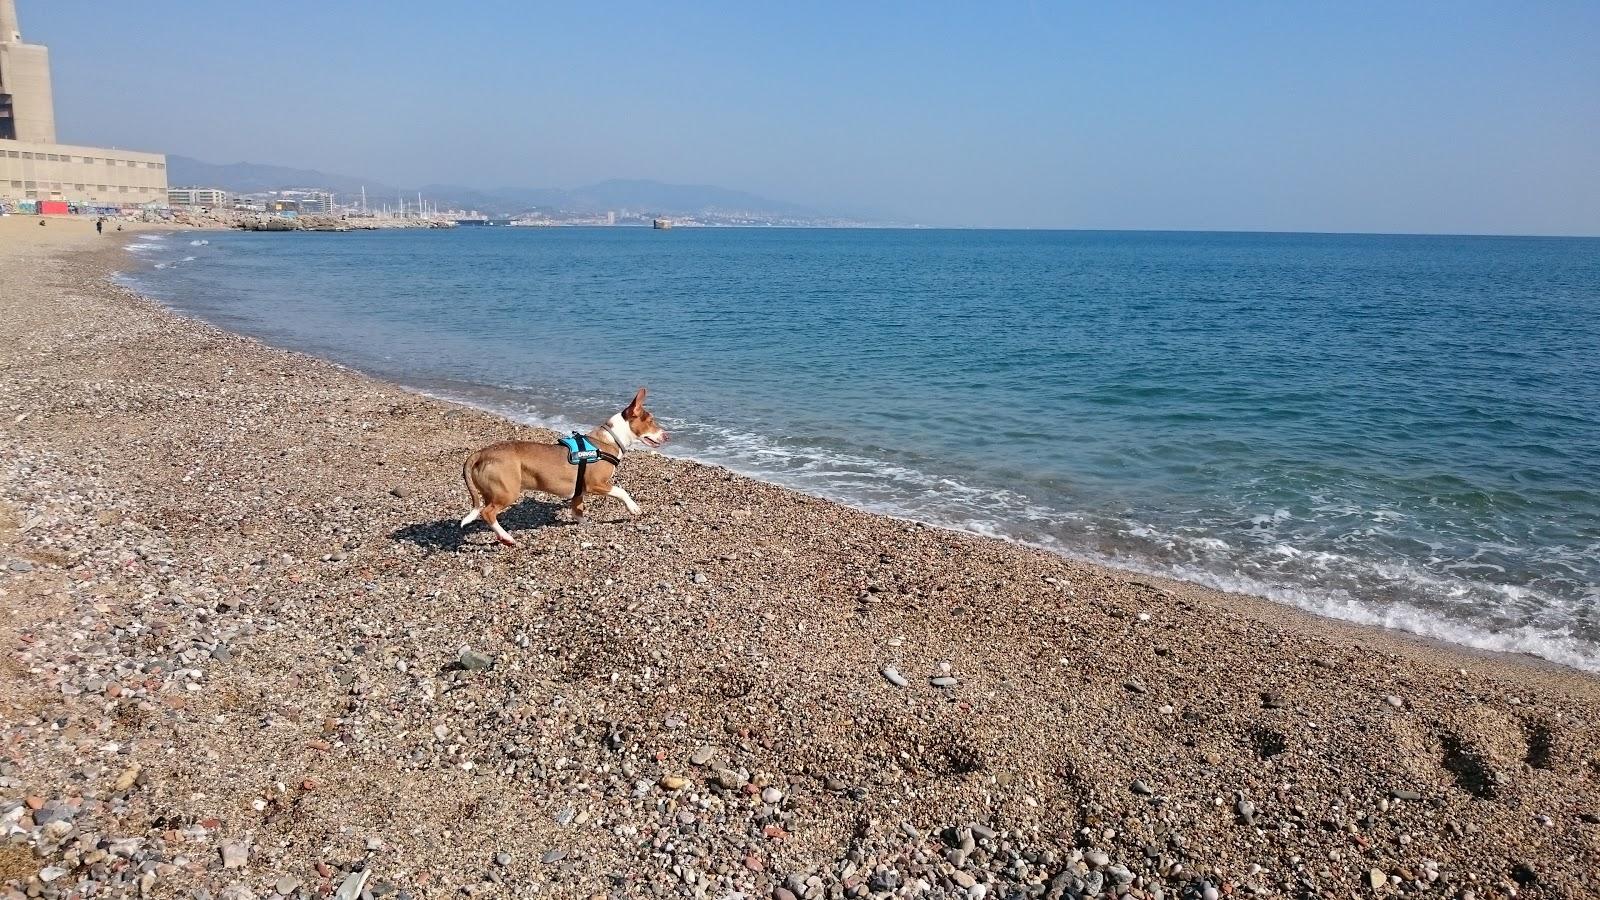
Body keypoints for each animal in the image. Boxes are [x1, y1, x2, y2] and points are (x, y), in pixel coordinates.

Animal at [460, 387, 665, 547]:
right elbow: (622, 491)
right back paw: (506, 537)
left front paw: (585, 523)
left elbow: (577, 509)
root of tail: (482, 453)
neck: (610, 440)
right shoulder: (596, 484)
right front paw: (633, 507)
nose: (667, 436)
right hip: (507, 492)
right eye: (651, 421)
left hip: (492, 492)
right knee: (487, 513)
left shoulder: (580, 489)